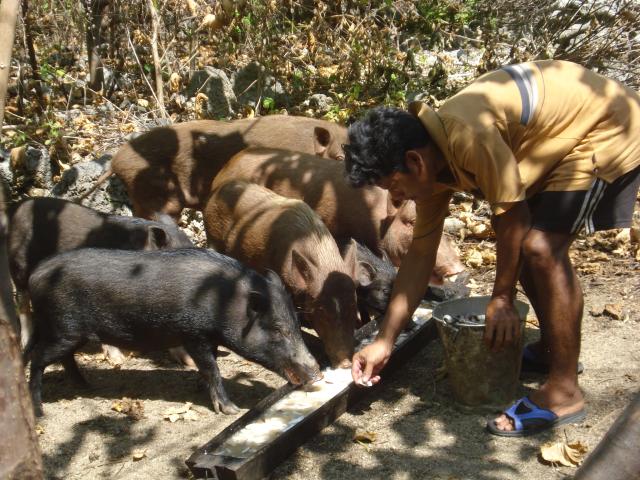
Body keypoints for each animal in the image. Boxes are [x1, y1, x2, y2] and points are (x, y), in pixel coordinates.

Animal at [25, 248, 322, 416]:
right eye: (278, 329)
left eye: (296, 324)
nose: (318, 373)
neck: (224, 303)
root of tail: (34, 276)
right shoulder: (193, 333)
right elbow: (212, 368)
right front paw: (230, 410)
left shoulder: (208, 337)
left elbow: (210, 365)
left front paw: (200, 388)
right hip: (62, 328)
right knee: (37, 360)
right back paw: (39, 411)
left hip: (72, 334)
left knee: (64, 359)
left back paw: (87, 386)